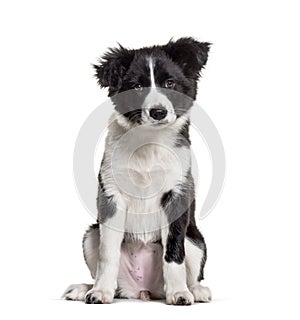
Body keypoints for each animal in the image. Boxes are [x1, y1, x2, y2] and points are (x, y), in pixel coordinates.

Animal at [63, 37, 212, 304]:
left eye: (170, 83)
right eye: (137, 86)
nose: (158, 112)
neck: (148, 142)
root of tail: (145, 291)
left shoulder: (177, 195)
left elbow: (174, 252)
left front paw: (179, 292)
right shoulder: (111, 197)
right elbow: (108, 254)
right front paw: (100, 292)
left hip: (196, 241)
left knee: (191, 266)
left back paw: (194, 290)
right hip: (91, 234)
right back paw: (85, 288)